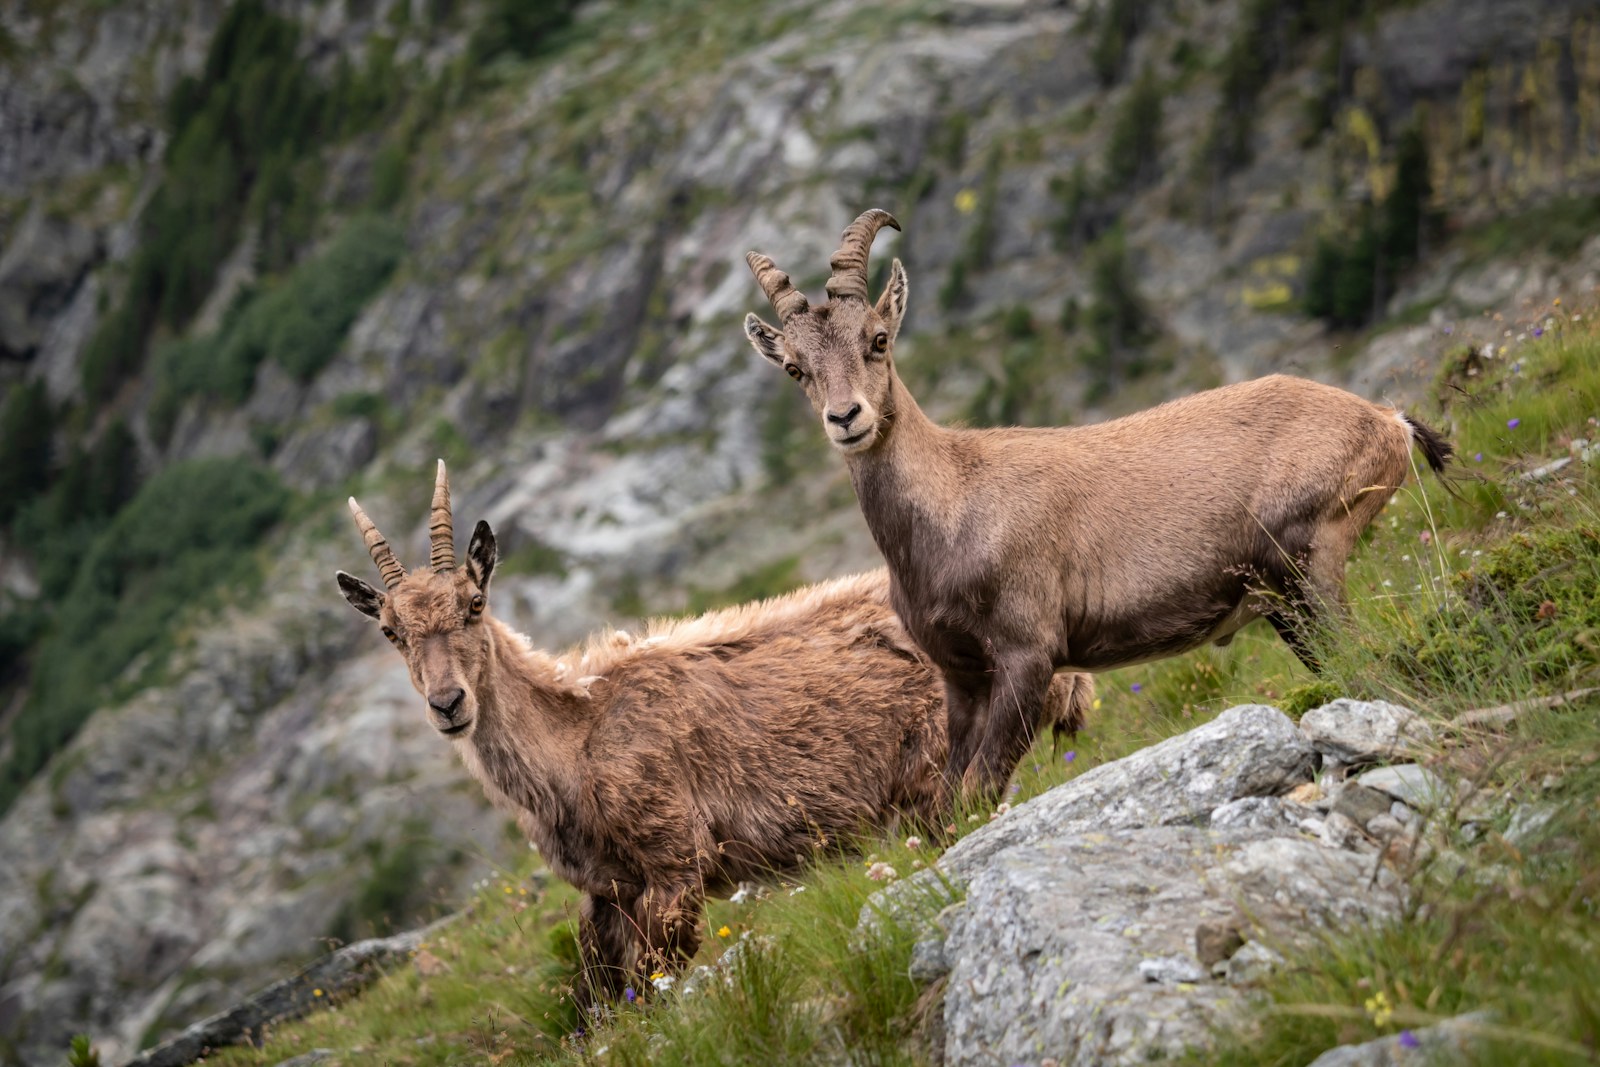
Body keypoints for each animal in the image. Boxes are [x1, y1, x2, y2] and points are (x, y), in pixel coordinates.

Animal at [335, 461, 1093, 1005]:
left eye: (474, 603)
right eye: (390, 631)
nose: (449, 703)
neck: (577, 739)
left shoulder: (674, 861)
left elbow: (653, 985)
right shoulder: (606, 894)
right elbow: (596, 995)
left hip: (940, 775)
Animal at [743, 208, 1452, 798]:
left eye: (879, 338)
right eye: (795, 368)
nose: (846, 418)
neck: (953, 504)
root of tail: (1387, 421)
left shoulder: (1029, 655)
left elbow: (978, 788)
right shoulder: (960, 678)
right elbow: (949, 801)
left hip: (1313, 556)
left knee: (1361, 651)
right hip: (1283, 599)